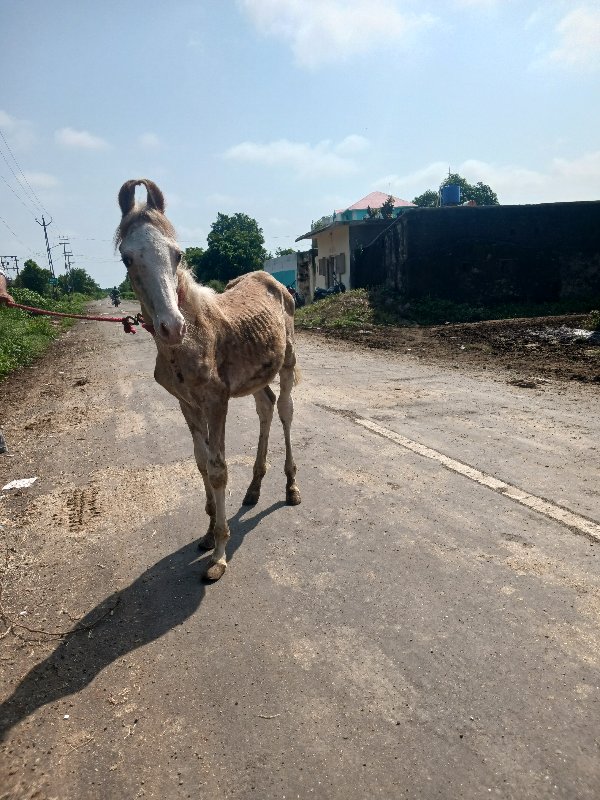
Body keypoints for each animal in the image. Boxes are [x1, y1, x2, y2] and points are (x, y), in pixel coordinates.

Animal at [114, 178, 300, 580]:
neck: (192, 338)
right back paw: (253, 489)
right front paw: (207, 534)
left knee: (285, 412)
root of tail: (272, 280)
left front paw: (218, 554)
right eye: (126, 258)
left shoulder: (217, 401)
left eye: (178, 254)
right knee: (266, 407)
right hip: (256, 375)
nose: (171, 326)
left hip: (288, 364)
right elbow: (200, 461)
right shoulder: (186, 403)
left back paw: (291, 487)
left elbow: (218, 470)